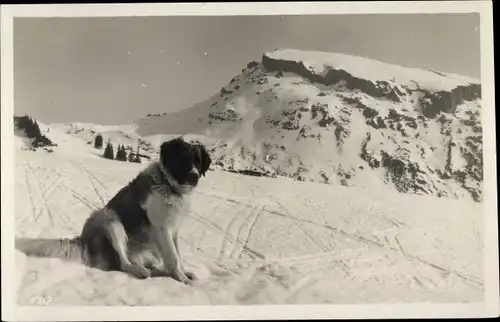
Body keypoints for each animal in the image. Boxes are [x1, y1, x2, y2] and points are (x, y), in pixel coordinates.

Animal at [15, 136, 211, 284]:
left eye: (198, 163)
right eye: (183, 160)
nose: (194, 176)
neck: (169, 186)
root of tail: (84, 240)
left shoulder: (174, 229)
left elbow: (177, 254)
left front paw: (185, 273)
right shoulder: (162, 228)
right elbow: (173, 256)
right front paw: (181, 278)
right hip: (109, 220)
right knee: (122, 263)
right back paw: (138, 270)